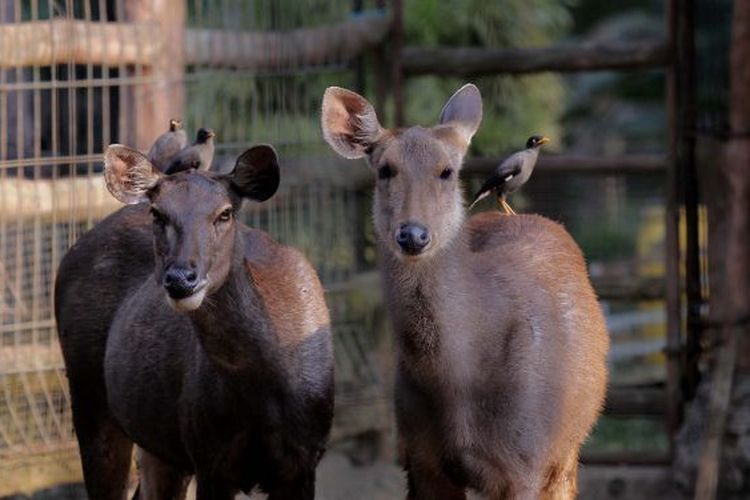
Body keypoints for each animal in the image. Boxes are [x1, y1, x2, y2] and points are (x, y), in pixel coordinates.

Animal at [54, 143, 334, 498]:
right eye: (157, 213)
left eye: (225, 213)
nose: (180, 278)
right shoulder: (209, 457)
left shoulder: (303, 461)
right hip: (89, 399)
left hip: (159, 445)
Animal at [322, 84, 612, 498]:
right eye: (385, 169)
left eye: (447, 171)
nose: (413, 234)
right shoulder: (420, 459)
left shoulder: (527, 461)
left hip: (566, 451)